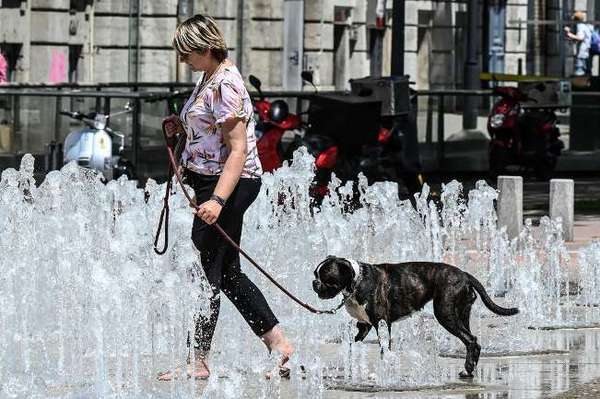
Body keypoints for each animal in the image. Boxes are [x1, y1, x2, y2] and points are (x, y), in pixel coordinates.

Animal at [312, 256, 516, 378]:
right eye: (315, 274)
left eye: (325, 277)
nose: (314, 282)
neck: (356, 282)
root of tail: (465, 275)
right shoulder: (364, 326)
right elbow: (353, 345)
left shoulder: (381, 324)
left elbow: (384, 349)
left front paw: (383, 371)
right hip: (462, 314)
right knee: (472, 341)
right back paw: (470, 369)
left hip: (445, 314)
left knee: (470, 339)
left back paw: (468, 369)